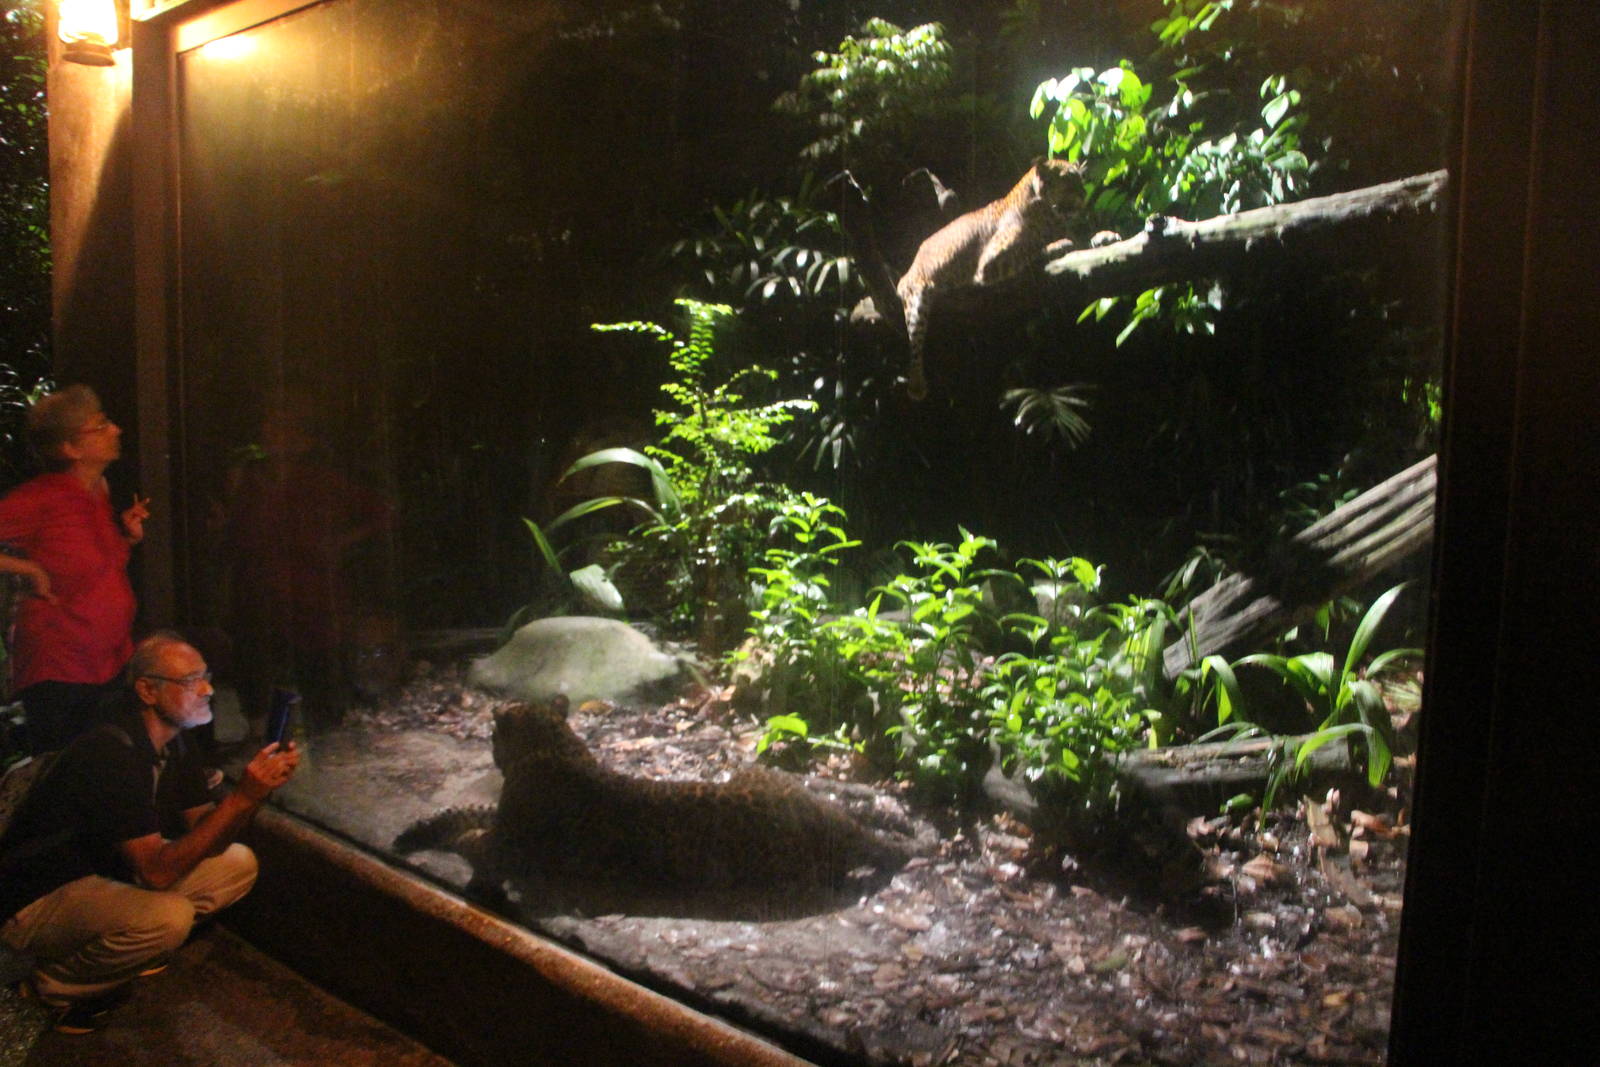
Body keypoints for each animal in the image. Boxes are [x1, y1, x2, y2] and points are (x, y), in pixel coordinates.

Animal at [395, 696, 915, 916]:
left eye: (492, 737)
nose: (491, 750)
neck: (554, 747)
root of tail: (834, 823)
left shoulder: (506, 844)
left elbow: (474, 840)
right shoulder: (501, 818)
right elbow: (466, 812)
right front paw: (420, 827)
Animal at [895, 158, 1087, 400]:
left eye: (1080, 180)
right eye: (1069, 180)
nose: (1084, 195)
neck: (1045, 210)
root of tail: (906, 273)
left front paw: (1104, 236)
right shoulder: (990, 261)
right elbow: (1031, 245)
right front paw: (1057, 244)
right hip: (918, 295)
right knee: (915, 341)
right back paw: (917, 384)